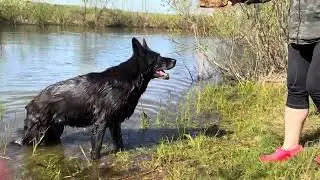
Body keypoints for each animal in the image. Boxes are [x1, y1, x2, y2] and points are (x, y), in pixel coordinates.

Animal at [19, 37, 176, 159]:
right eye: (158, 57)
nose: (175, 60)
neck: (129, 79)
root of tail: (30, 104)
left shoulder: (114, 122)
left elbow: (119, 142)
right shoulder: (101, 122)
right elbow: (97, 148)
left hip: (55, 131)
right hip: (36, 135)